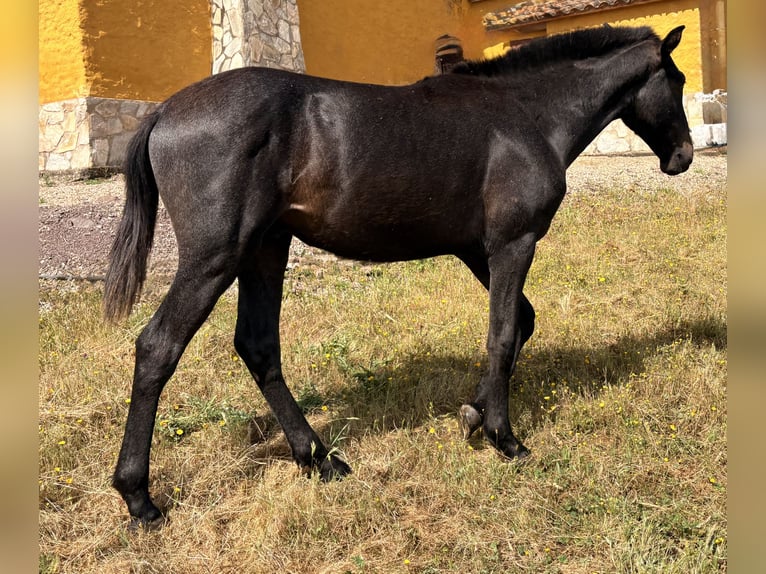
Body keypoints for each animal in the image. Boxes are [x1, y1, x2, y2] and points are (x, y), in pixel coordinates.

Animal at [104, 25, 692, 528]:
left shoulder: (477, 250)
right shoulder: (512, 243)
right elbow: (503, 334)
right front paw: (504, 438)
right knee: (158, 347)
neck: (525, 114)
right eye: (679, 80)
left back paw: (318, 458)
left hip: (265, 249)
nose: (683, 156)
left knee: (258, 346)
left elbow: (520, 323)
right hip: (216, 257)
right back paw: (139, 498)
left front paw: (472, 414)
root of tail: (164, 112)